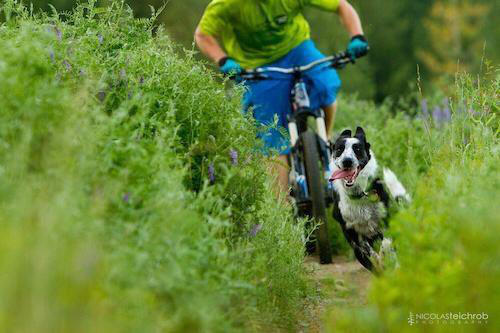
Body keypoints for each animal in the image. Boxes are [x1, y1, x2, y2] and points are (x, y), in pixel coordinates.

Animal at [328, 126, 410, 272]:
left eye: (357, 149)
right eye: (339, 149)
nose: (347, 161)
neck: (358, 195)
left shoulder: (386, 220)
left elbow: (386, 243)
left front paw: (384, 255)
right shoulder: (352, 235)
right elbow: (368, 252)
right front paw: (378, 259)